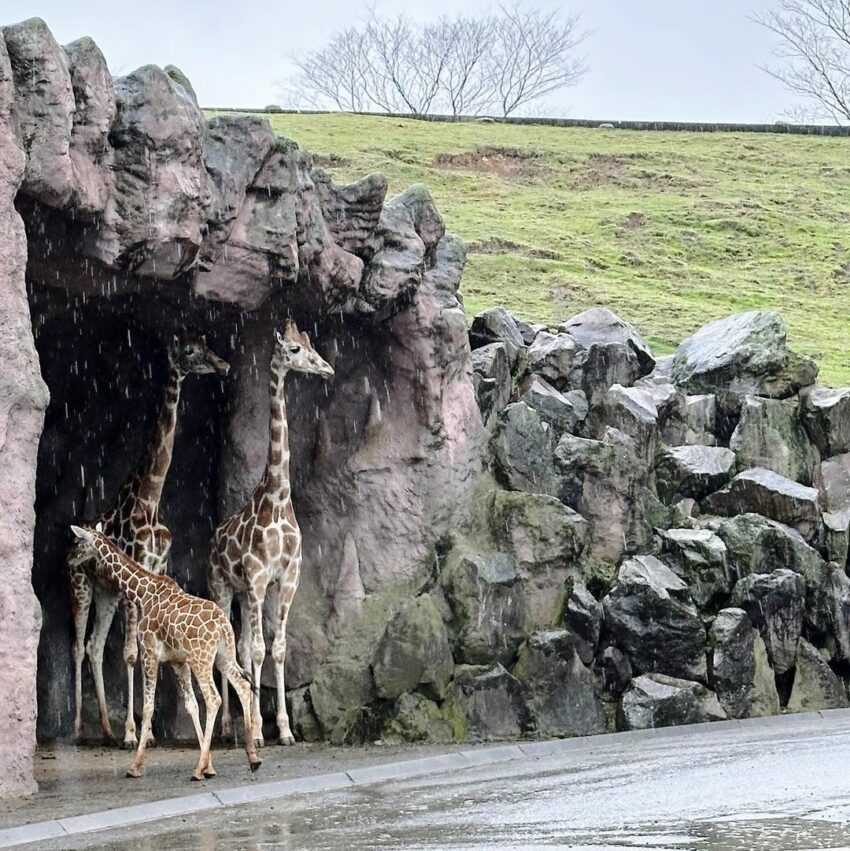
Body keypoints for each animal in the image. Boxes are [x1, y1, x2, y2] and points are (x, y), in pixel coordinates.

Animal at [68, 524, 260, 784]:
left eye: (78, 542)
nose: (69, 560)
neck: (142, 591)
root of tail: (223, 625)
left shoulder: (149, 653)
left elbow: (148, 707)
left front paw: (135, 766)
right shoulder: (178, 661)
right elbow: (191, 705)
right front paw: (209, 766)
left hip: (201, 659)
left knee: (213, 698)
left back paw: (198, 770)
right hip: (222, 656)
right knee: (241, 685)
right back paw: (253, 758)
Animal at [69, 332, 229, 744]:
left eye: (208, 342)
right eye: (188, 350)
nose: (224, 364)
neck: (150, 498)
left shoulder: (156, 568)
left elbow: (141, 650)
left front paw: (145, 730)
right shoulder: (135, 570)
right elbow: (129, 652)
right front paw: (133, 733)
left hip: (106, 592)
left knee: (93, 646)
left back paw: (106, 729)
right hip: (80, 586)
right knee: (77, 646)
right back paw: (80, 729)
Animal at [209, 322, 334, 748]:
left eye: (313, 345)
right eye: (294, 349)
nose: (327, 369)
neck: (277, 499)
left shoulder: (286, 577)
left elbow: (277, 648)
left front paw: (283, 728)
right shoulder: (258, 578)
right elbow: (261, 651)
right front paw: (259, 729)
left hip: (244, 594)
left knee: (244, 645)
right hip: (223, 587)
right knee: (233, 645)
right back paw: (230, 726)